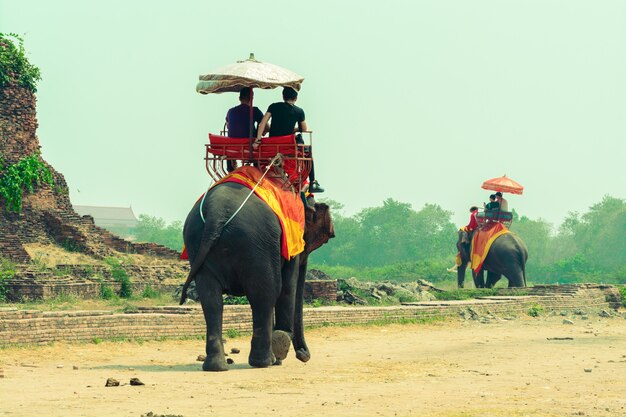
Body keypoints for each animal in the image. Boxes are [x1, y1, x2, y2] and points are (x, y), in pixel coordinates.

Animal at [178, 182, 334, 370]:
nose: (303, 355)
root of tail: (217, 211)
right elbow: (288, 287)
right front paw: (279, 351)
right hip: (257, 244)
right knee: (265, 294)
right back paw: (263, 362)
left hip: (197, 242)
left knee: (211, 299)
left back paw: (216, 367)